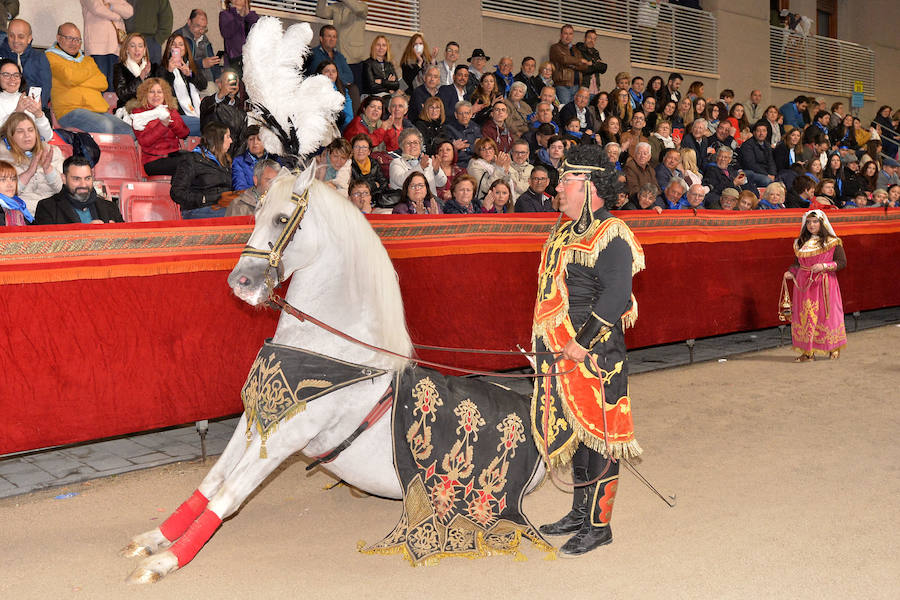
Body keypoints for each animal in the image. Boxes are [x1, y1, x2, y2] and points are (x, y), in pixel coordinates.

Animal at [122, 166, 544, 584]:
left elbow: (228, 494)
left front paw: (165, 561)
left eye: (281, 219)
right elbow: (211, 481)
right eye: (254, 215)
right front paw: (154, 539)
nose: (240, 282)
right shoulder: (256, 420)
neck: (326, 350)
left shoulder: (287, 435)